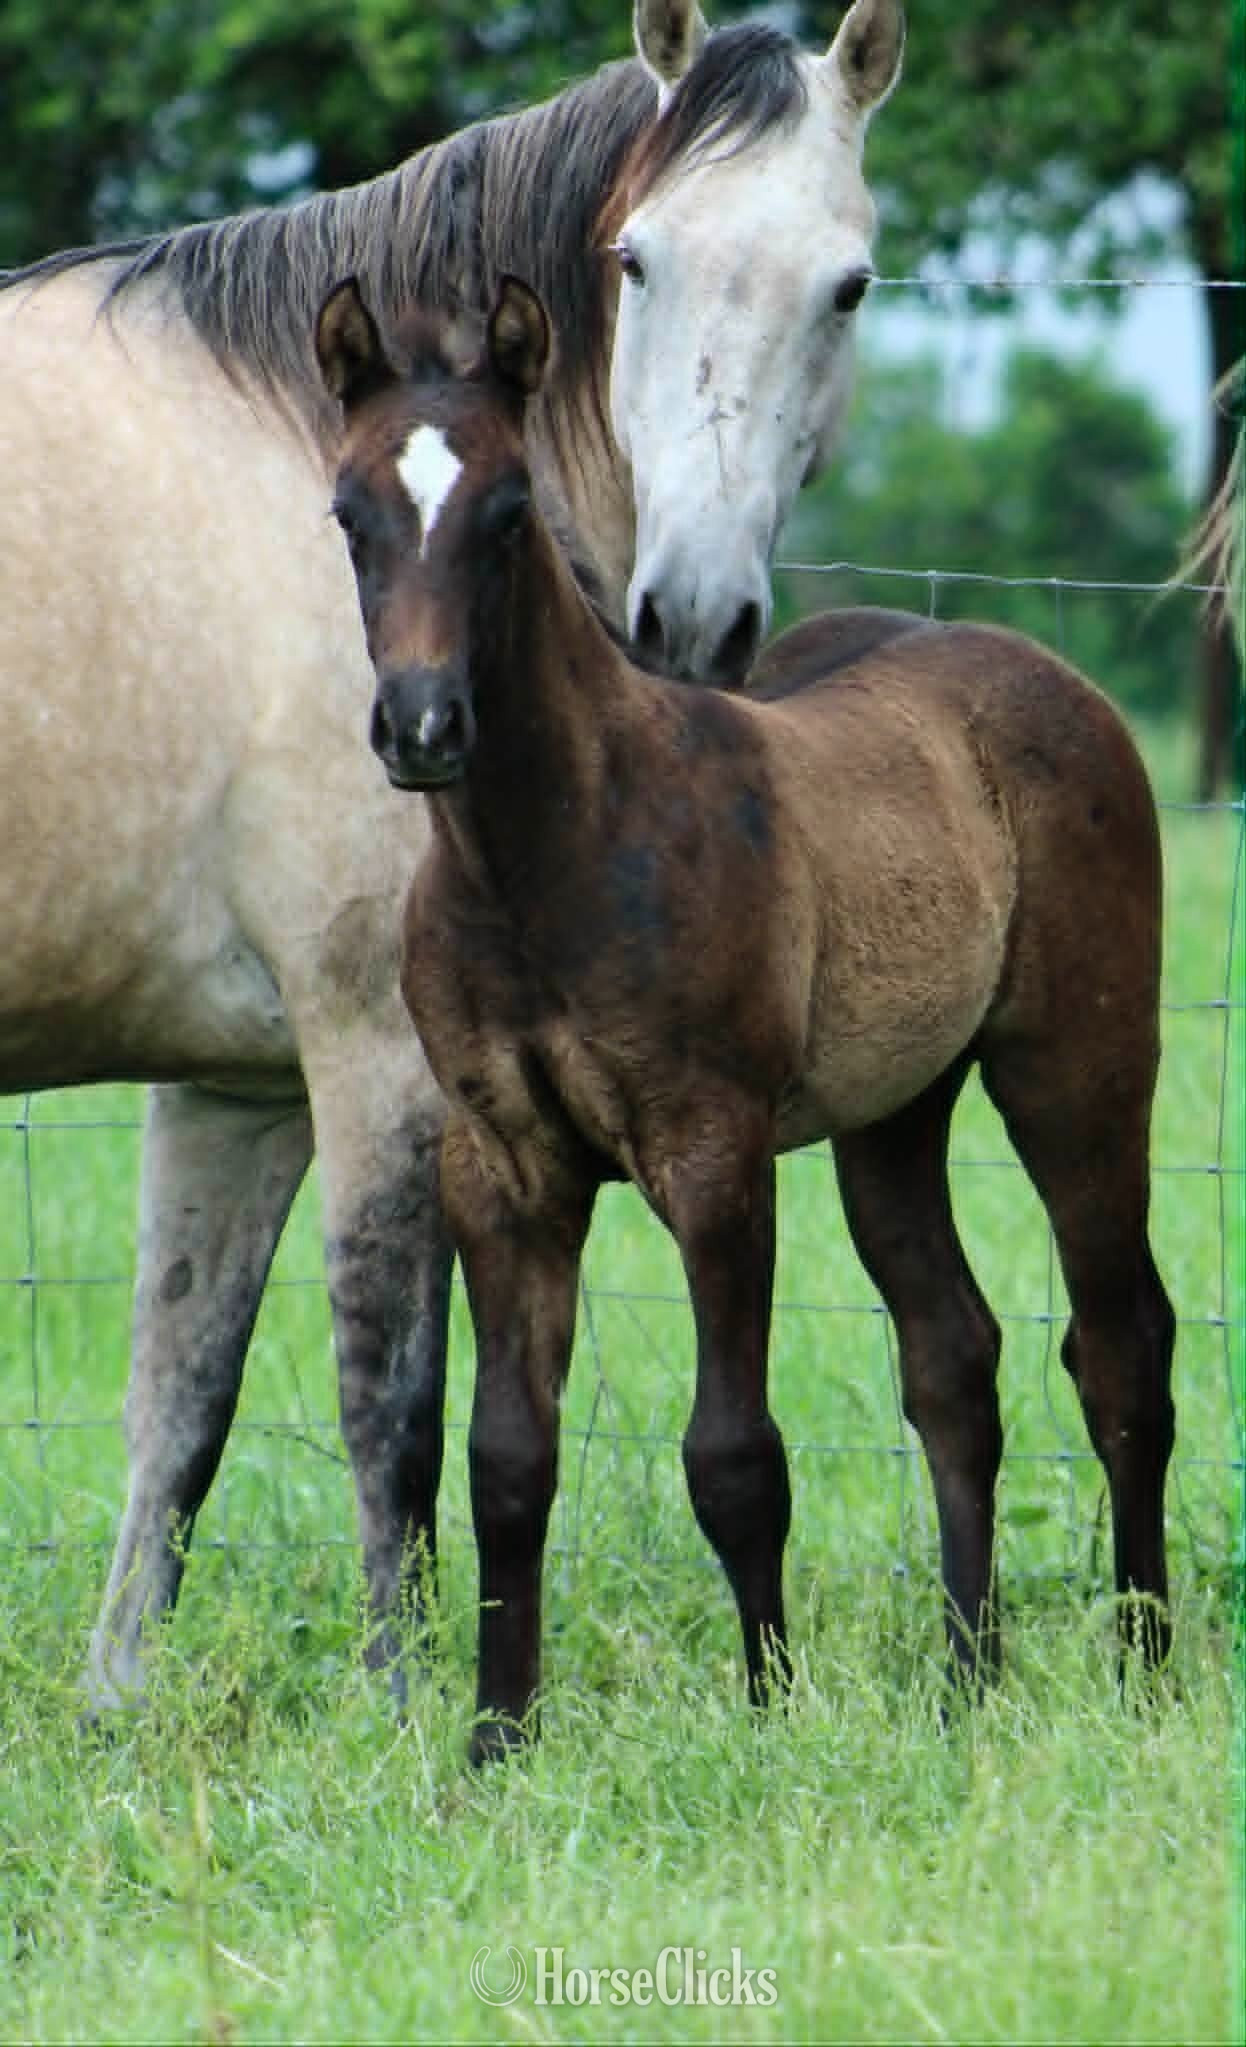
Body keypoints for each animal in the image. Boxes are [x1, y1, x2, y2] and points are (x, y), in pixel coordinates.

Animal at [0, 0, 904, 1711]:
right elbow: (393, 1395)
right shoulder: (384, 1060)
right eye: (635, 261)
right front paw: (408, 1693)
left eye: (848, 283)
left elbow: (179, 1402)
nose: (692, 616)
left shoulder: (233, 1083)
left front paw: (116, 1702)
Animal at [314, 273, 1176, 1762]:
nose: (422, 725)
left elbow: (733, 1454)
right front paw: (494, 1737)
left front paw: (766, 1712)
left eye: (508, 512)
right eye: (349, 514)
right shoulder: (504, 1168)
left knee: (1118, 1346)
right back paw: (965, 1681)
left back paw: (1144, 1668)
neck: (545, 857)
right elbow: (505, 1456)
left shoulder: (710, 1154)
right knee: (953, 1358)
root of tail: (1047, 676)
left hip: (1078, 1069)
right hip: (895, 1115)